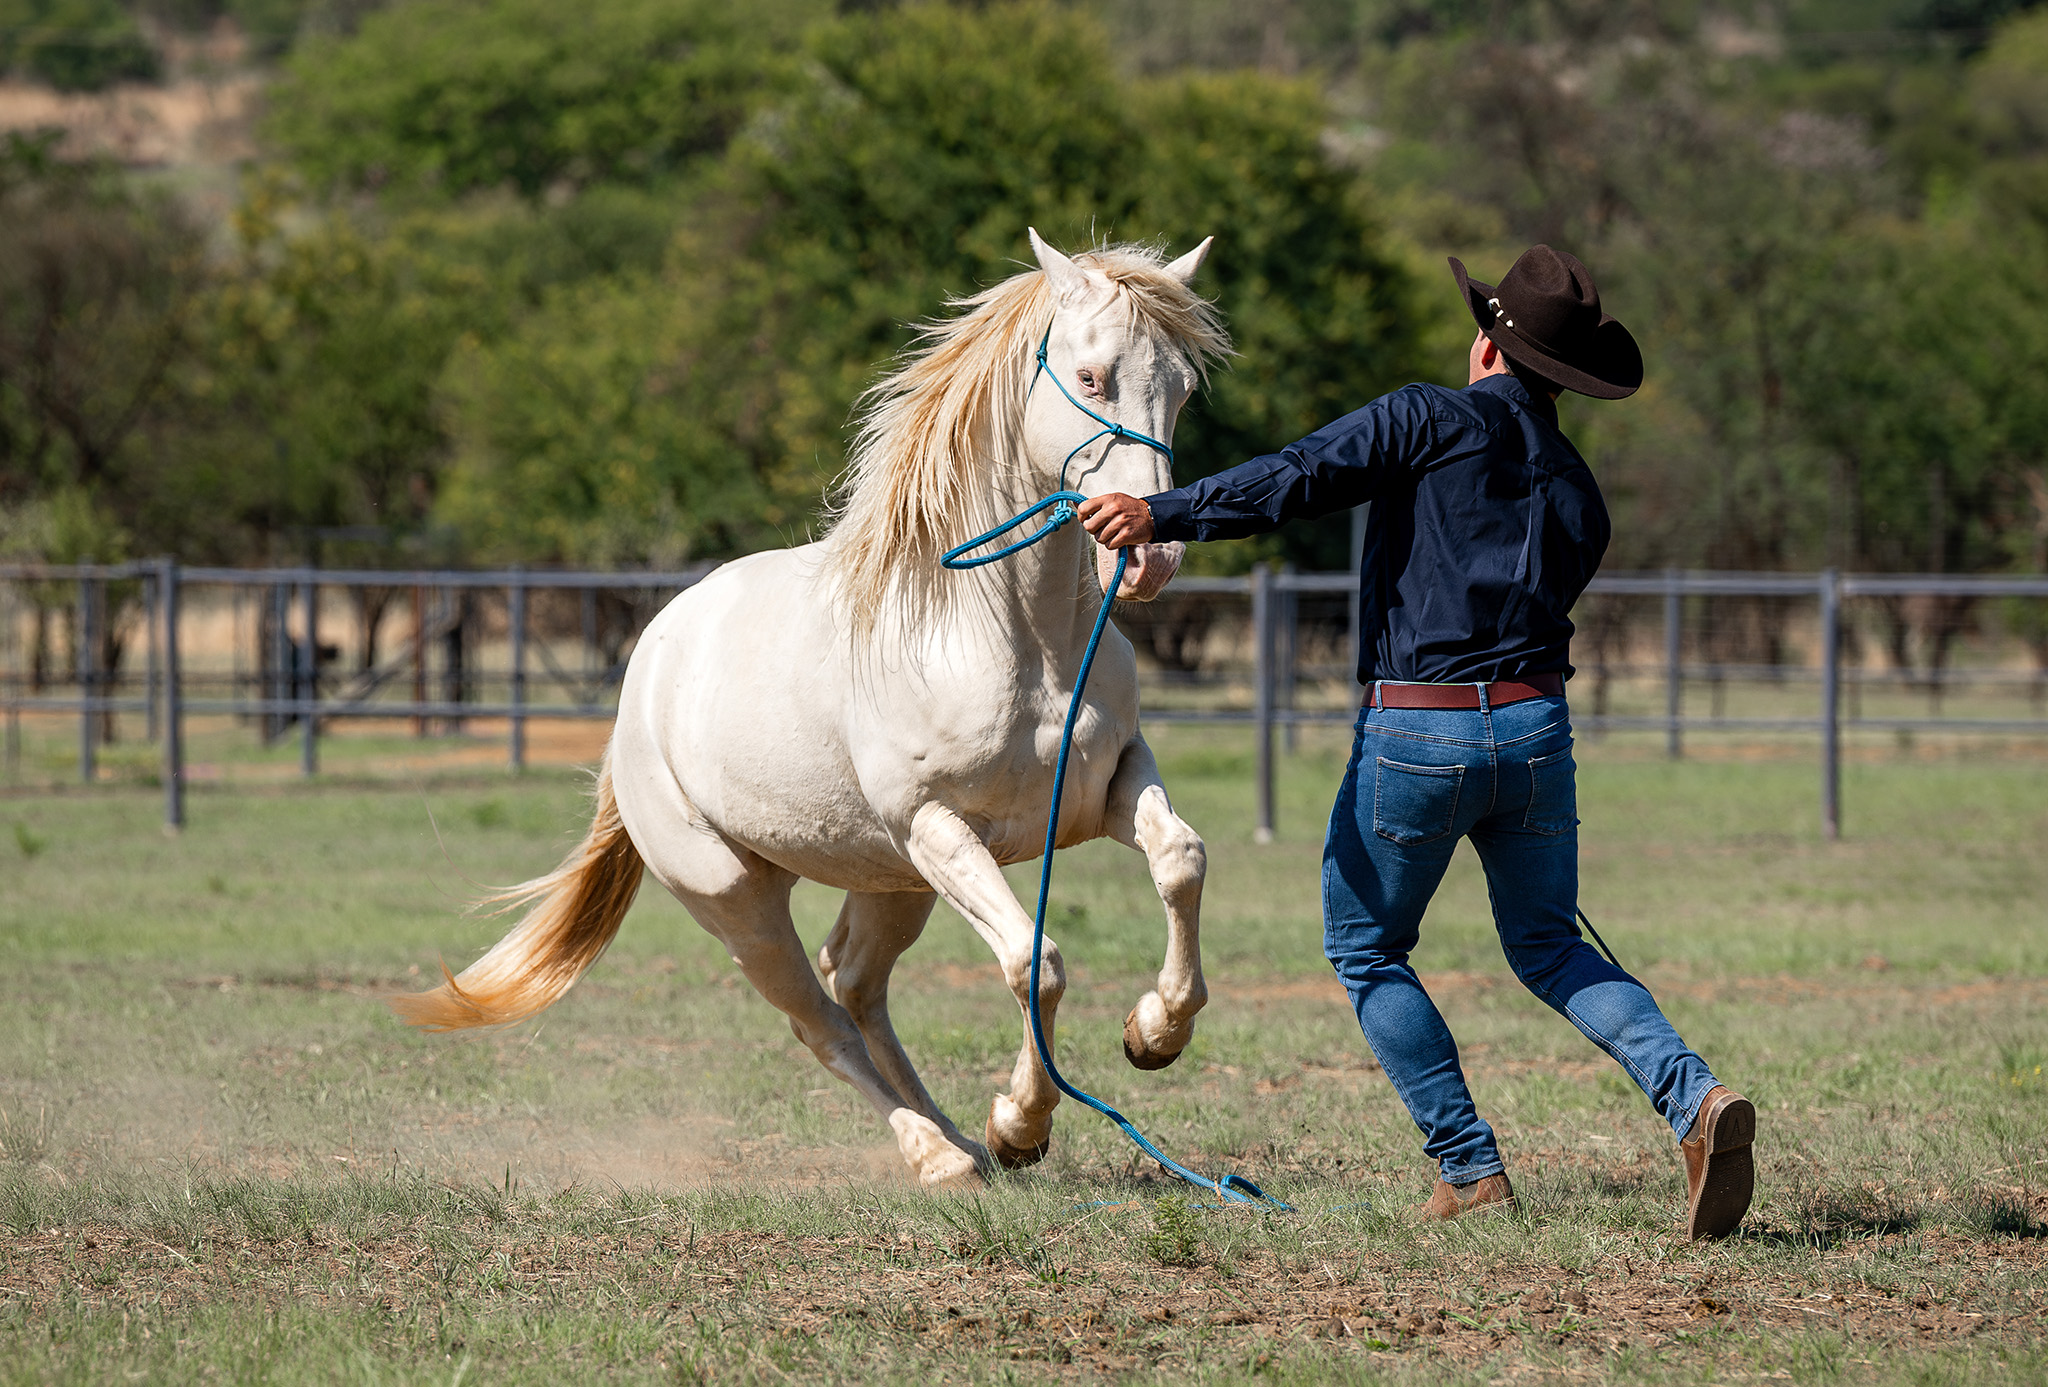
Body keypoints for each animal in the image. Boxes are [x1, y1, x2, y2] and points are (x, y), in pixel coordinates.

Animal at [392, 230, 1232, 1187]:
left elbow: (1181, 860)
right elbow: (1034, 959)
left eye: (1182, 386)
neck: (1012, 639)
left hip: (891, 877)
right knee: (819, 1019)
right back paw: (937, 1152)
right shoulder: (938, 827)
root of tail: (647, 672)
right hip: (743, 898)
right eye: (1091, 377)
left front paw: (1155, 1032)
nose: (1152, 554)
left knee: (855, 982)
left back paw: (956, 1137)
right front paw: (1023, 1121)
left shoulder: (1111, 785)